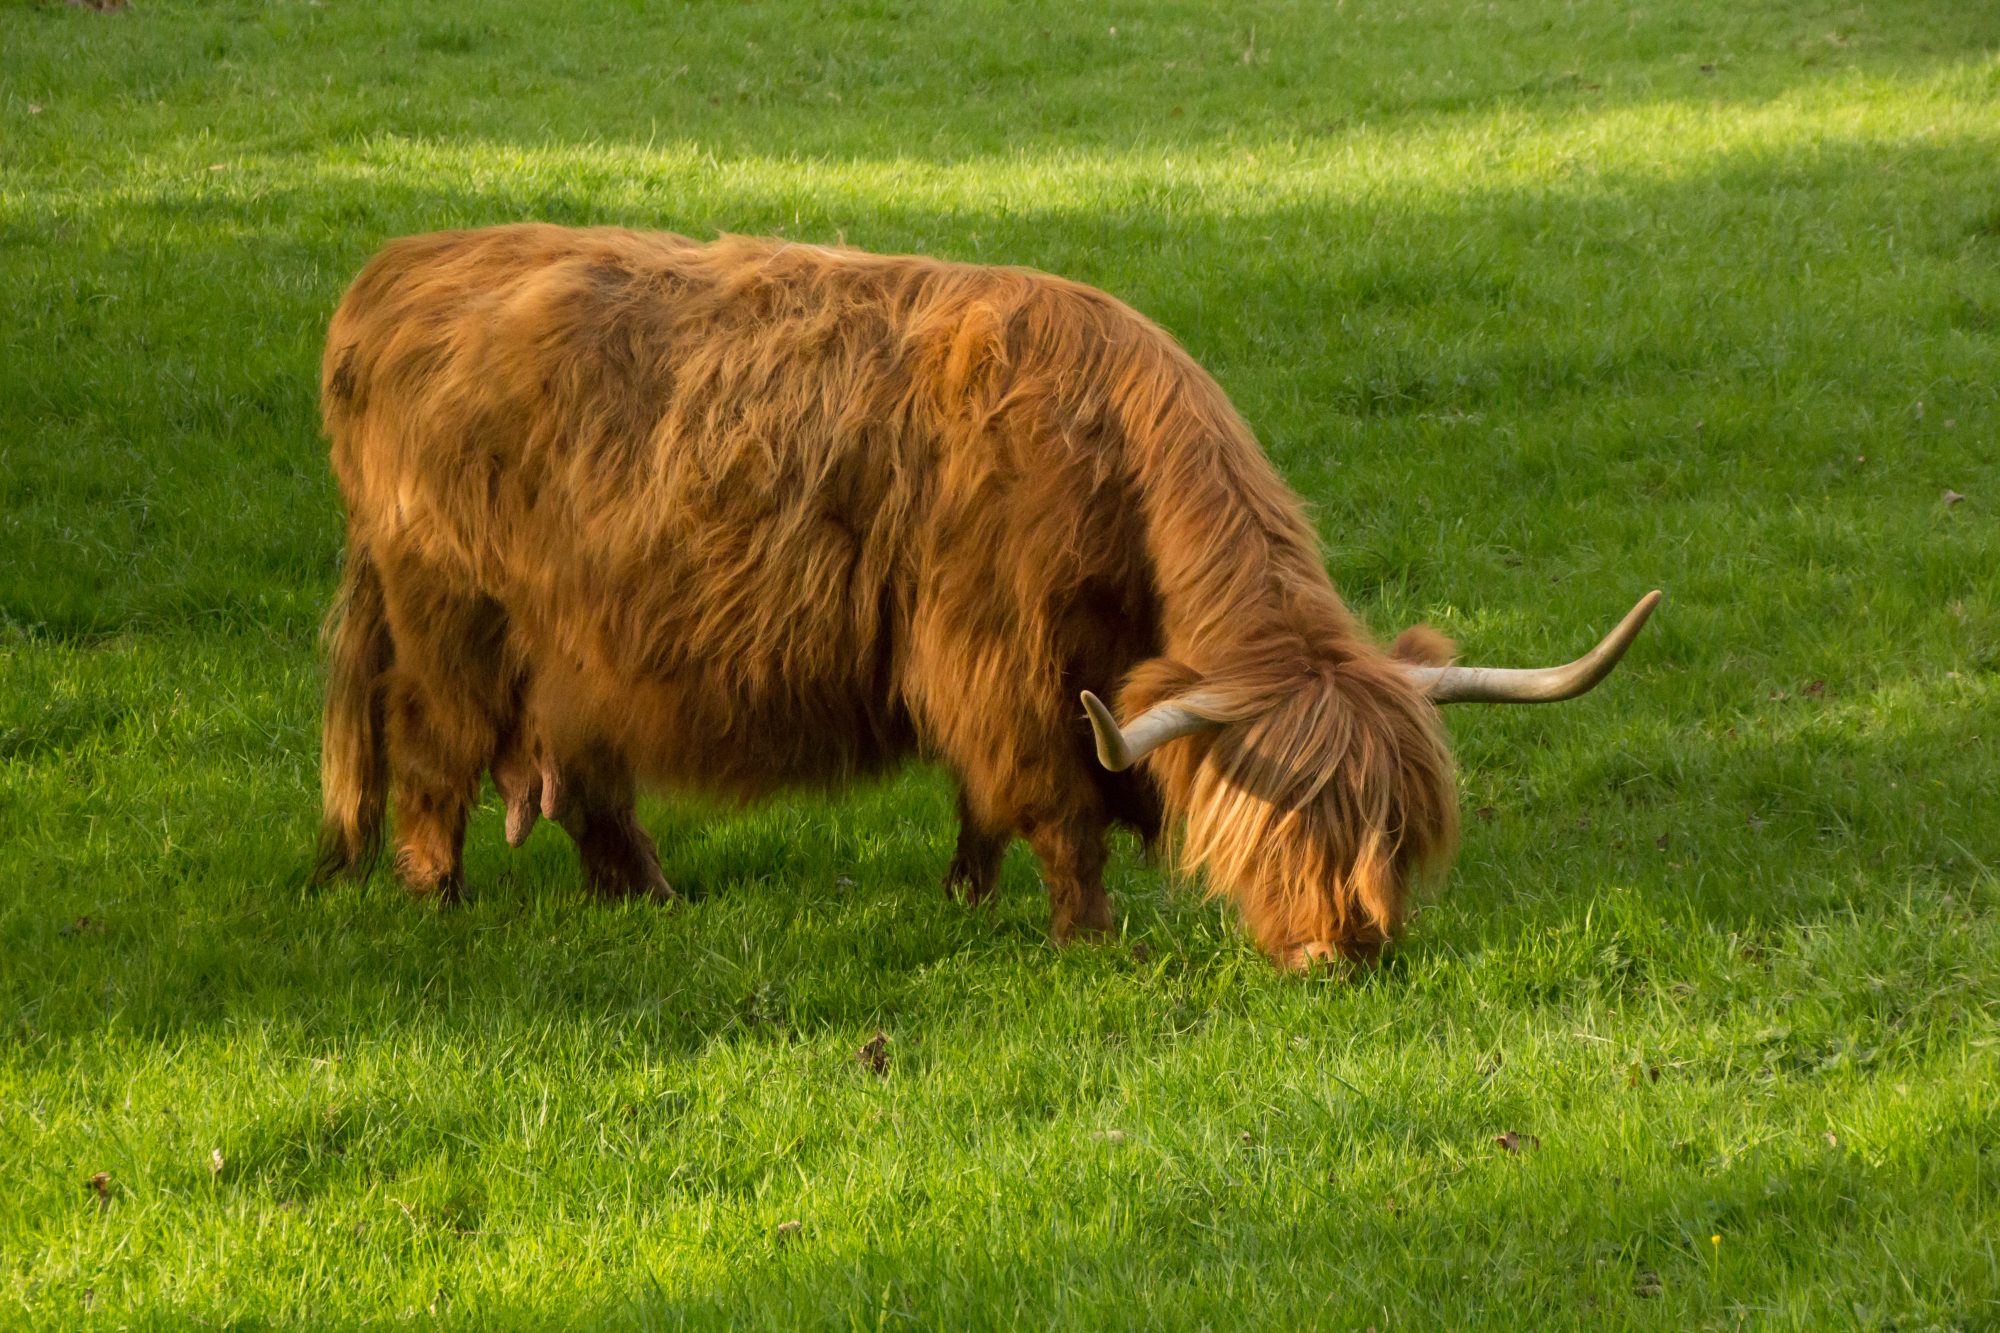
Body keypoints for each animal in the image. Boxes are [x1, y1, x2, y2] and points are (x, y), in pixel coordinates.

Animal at [316, 223, 1656, 960]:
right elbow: (1053, 806)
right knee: (431, 755)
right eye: (1289, 822)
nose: (1350, 949)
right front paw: (1086, 935)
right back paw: (440, 902)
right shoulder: (1000, 658)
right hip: (450, 619)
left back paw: (649, 893)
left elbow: (983, 804)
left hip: (572, 650)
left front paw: (964, 898)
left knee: (582, 776)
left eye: (1396, 830)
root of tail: (392, 272)